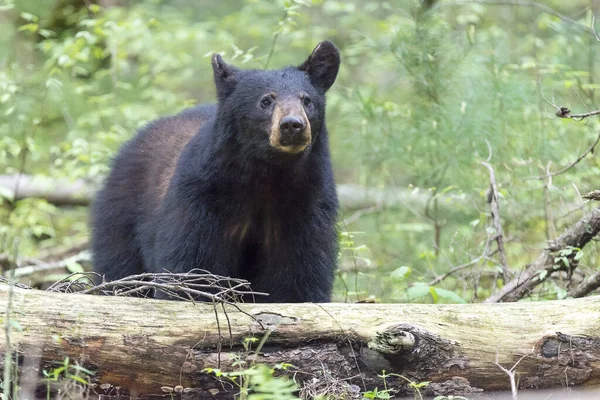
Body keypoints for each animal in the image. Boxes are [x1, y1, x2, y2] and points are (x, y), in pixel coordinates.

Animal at [91, 41, 340, 304]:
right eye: (265, 101)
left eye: (307, 100)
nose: (292, 124)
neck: (267, 174)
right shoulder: (201, 198)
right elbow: (192, 263)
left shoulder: (306, 203)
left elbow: (299, 272)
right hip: (122, 214)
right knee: (118, 264)